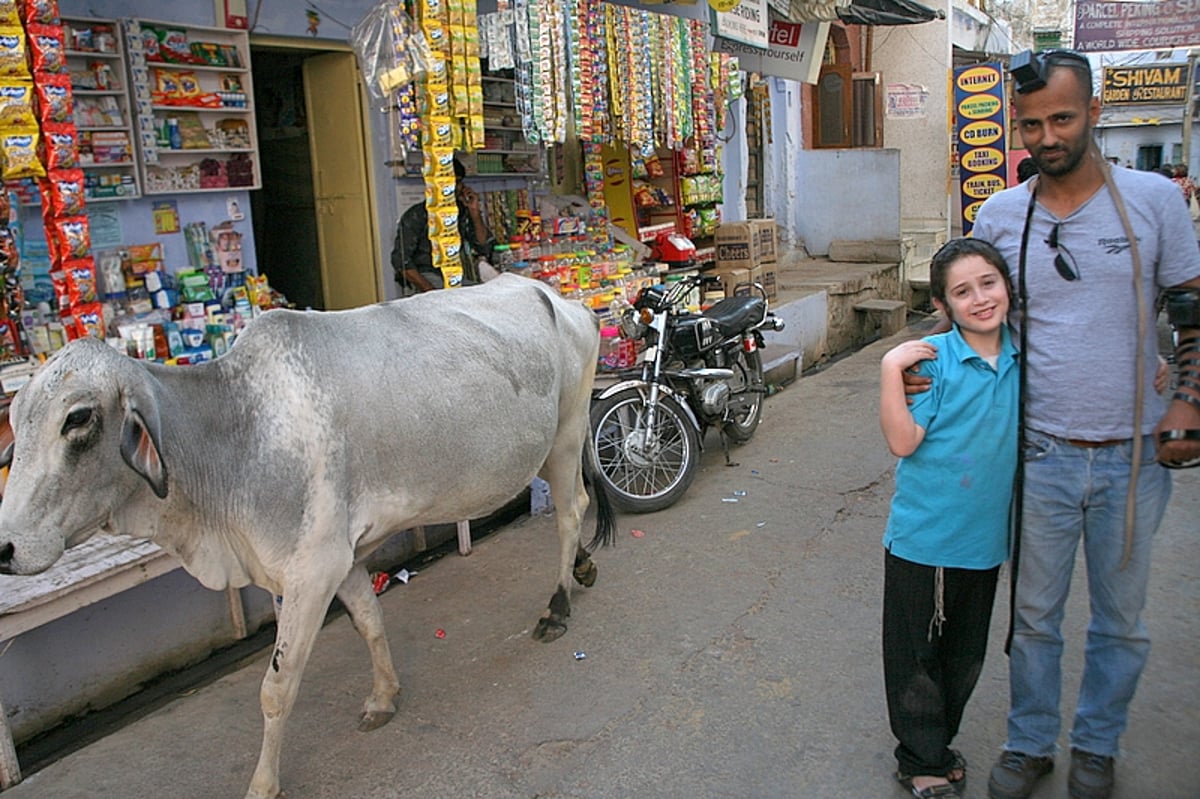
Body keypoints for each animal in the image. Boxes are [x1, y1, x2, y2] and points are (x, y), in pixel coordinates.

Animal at [0, 273, 614, 796]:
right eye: (17, 415)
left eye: (78, 418)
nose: (5, 547)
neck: (238, 433)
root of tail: (558, 296)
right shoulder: (341, 561)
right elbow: (370, 622)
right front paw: (383, 696)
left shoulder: (311, 570)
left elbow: (276, 689)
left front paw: (262, 784)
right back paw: (582, 568)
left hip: (566, 434)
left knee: (570, 513)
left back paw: (556, 606)